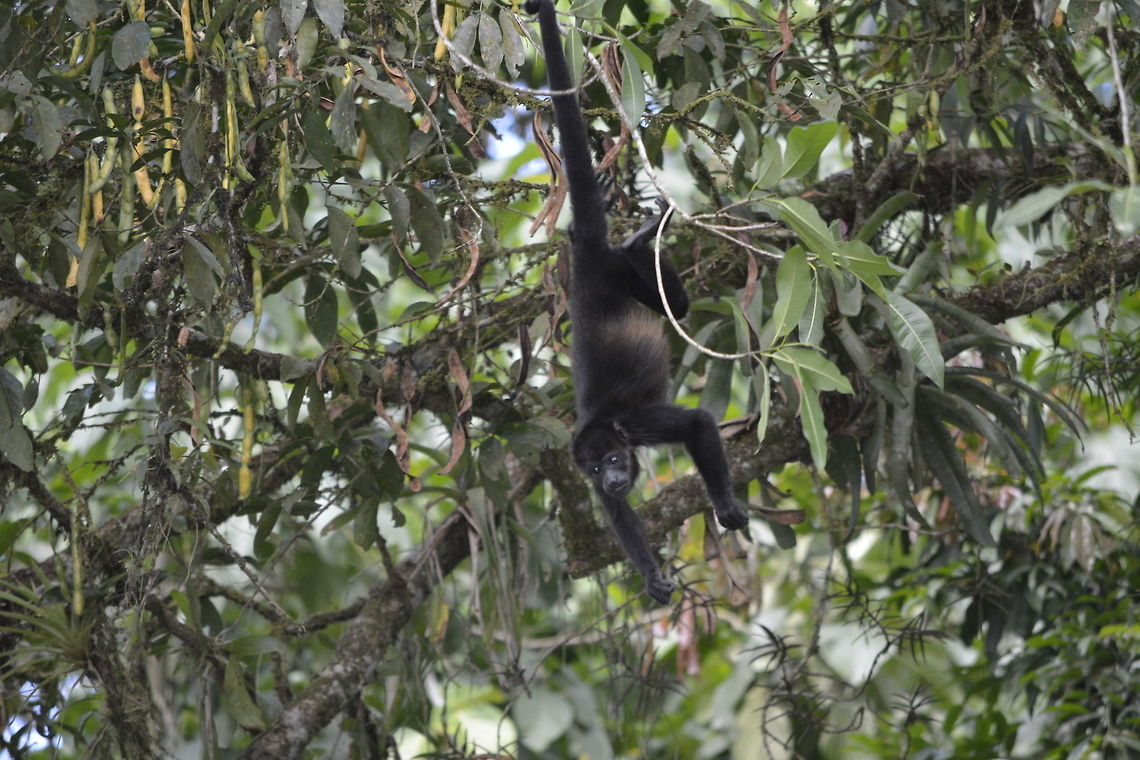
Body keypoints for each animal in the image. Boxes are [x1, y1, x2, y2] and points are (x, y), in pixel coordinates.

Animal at [526, 0, 752, 604]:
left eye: (611, 458)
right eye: (595, 472)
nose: (609, 476)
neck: (609, 428)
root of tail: (586, 263)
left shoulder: (638, 422)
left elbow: (698, 422)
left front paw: (724, 503)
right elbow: (618, 515)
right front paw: (650, 573)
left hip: (621, 277)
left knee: (680, 304)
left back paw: (639, 242)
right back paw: (636, 240)